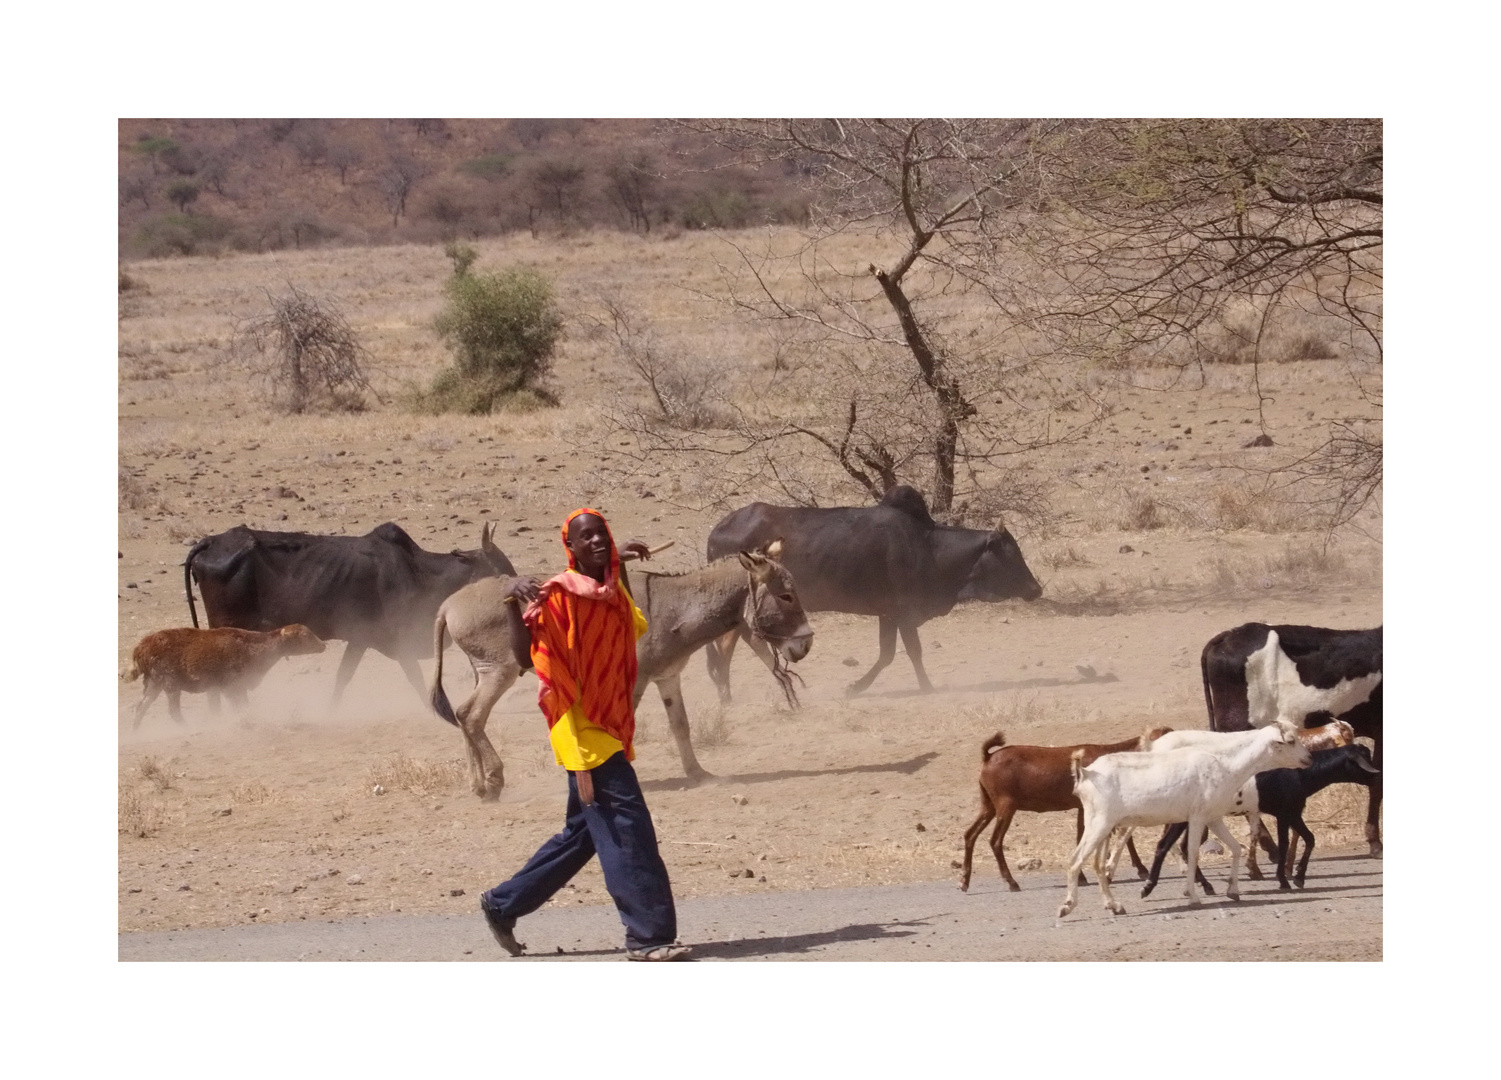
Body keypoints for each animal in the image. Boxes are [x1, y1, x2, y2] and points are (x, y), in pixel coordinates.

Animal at [123, 621, 325, 729]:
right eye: (304, 636)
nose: (323, 645)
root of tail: (141, 648)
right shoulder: (231, 686)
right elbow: (239, 707)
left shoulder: (220, 688)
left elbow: (220, 709)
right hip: (169, 684)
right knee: (173, 711)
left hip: (153, 683)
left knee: (140, 707)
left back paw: (135, 732)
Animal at [954, 726, 1176, 894]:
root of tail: (988, 757)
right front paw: (1141, 869)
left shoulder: (1086, 807)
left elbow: (1083, 835)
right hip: (1005, 805)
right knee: (995, 841)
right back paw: (1011, 882)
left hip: (988, 805)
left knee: (970, 835)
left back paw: (965, 880)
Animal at [1056, 720, 1314, 918]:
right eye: (1291, 740)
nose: (1309, 758)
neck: (1225, 764)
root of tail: (1086, 773)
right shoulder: (1197, 817)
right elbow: (1192, 854)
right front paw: (1193, 896)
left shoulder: (1213, 818)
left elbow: (1235, 848)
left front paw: (1233, 891)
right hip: (1099, 823)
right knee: (1075, 859)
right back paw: (1067, 907)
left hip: (1103, 825)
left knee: (1098, 865)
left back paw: (1115, 906)